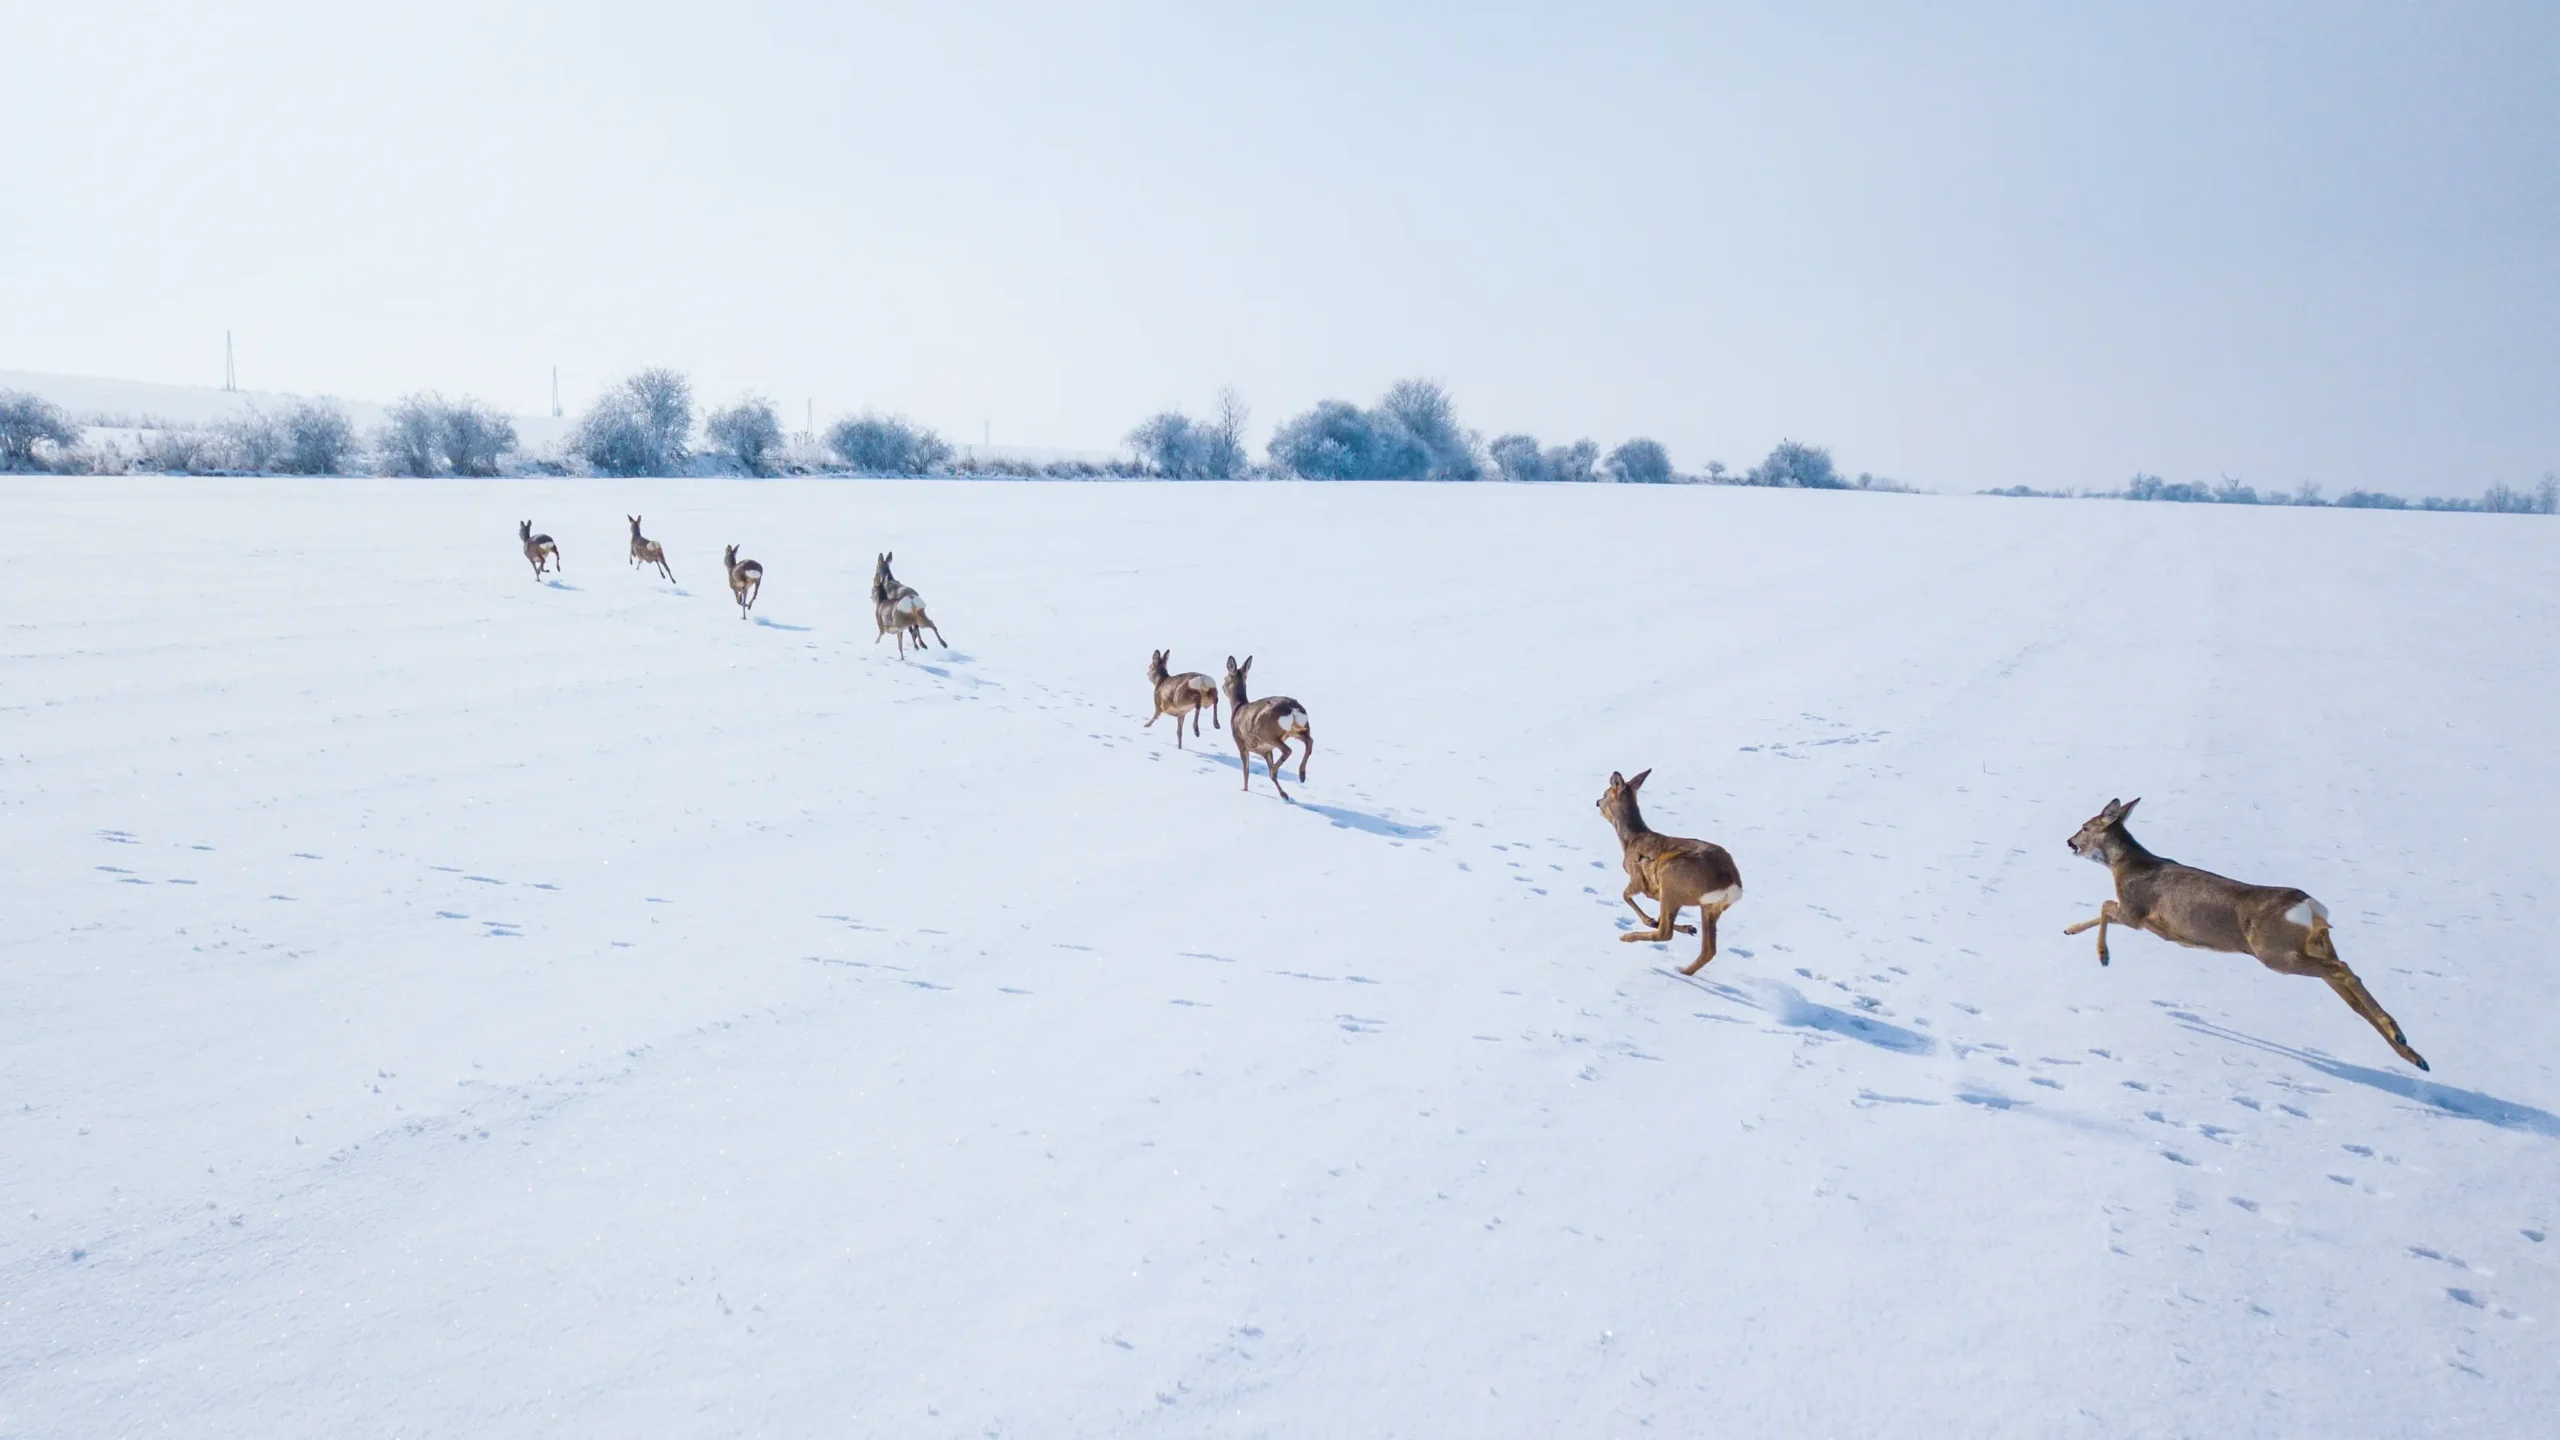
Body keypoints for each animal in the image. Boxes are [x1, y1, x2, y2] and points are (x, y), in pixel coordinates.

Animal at [1222, 655, 1311, 799]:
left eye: (1225, 678)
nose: (1222, 687)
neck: (1238, 708)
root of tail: (1292, 709)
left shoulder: (1240, 740)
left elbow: (1246, 770)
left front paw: (1244, 790)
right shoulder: (1266, 750)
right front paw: (1284, 794)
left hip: (1266, 733)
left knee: (1288, 750)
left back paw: (1276, 771)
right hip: (1297, 729)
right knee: (1309, 741)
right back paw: (1301, 775)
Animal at [1596, 769, 1742, 975]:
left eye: (1605, 793)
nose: (1597, 802)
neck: (1631, 839)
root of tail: (1732, 885)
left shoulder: (1638, 878)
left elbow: (1626, 895)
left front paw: (1651, 920)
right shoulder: (1656, 888)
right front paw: (1687, 928)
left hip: (1670, 877)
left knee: (1666, 933)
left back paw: (1627, 937)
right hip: (1709, 907)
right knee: (1709, 949)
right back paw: (1683, 969)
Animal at [2065, 798, 2427, 1070]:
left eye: (2085, 826)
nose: (2069, 842)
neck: (2126, 865)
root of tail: (2309, 908)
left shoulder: (2138, 912)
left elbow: (2105, 906)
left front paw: (2102, 955)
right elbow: (2102, 910)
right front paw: (2069, 930)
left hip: (2275, 953)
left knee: (2345, 971)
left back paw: (2401, 1039)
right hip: (2314, 947)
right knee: (2353, 997)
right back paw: (2412, 1054)